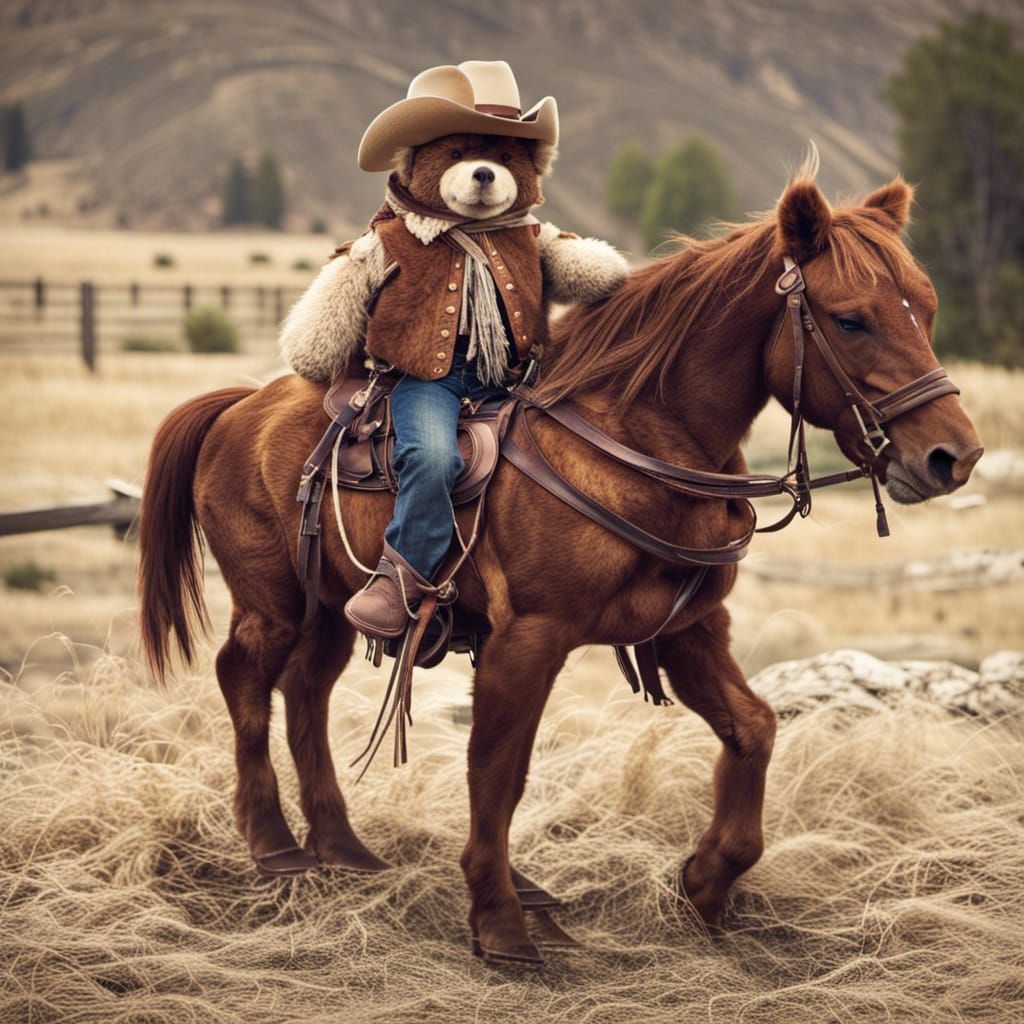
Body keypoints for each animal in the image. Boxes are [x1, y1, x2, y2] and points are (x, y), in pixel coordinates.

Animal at [138, 162, 982, 966]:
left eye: (928, 307)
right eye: (851, 318)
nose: (954, 456)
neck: (636, 444)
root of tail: (238, 405)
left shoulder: (689, 629)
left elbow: (754, 728)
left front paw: (706, 884)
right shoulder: (530, 638)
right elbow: (498, 772)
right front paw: (500, 922)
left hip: (331, 609)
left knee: (306, 694)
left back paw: (344, 848)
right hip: (272, 602)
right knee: (246, 681)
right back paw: (274, 845)